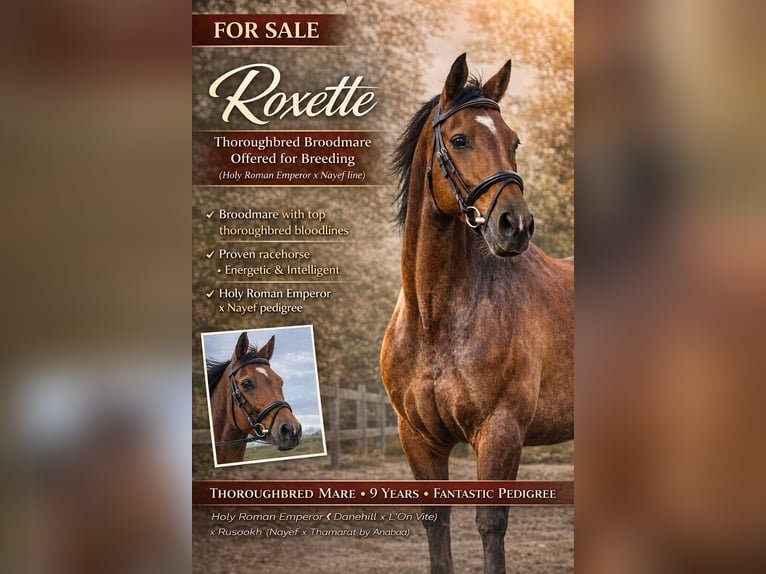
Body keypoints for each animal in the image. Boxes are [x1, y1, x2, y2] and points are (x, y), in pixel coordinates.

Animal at [381, 54, 574, 573]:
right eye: (460, 139)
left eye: (513, 140)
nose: (515, 226)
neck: (435, 321)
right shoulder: (419, 438)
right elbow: (436, 525)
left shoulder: (500, 432)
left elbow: (490, 525)